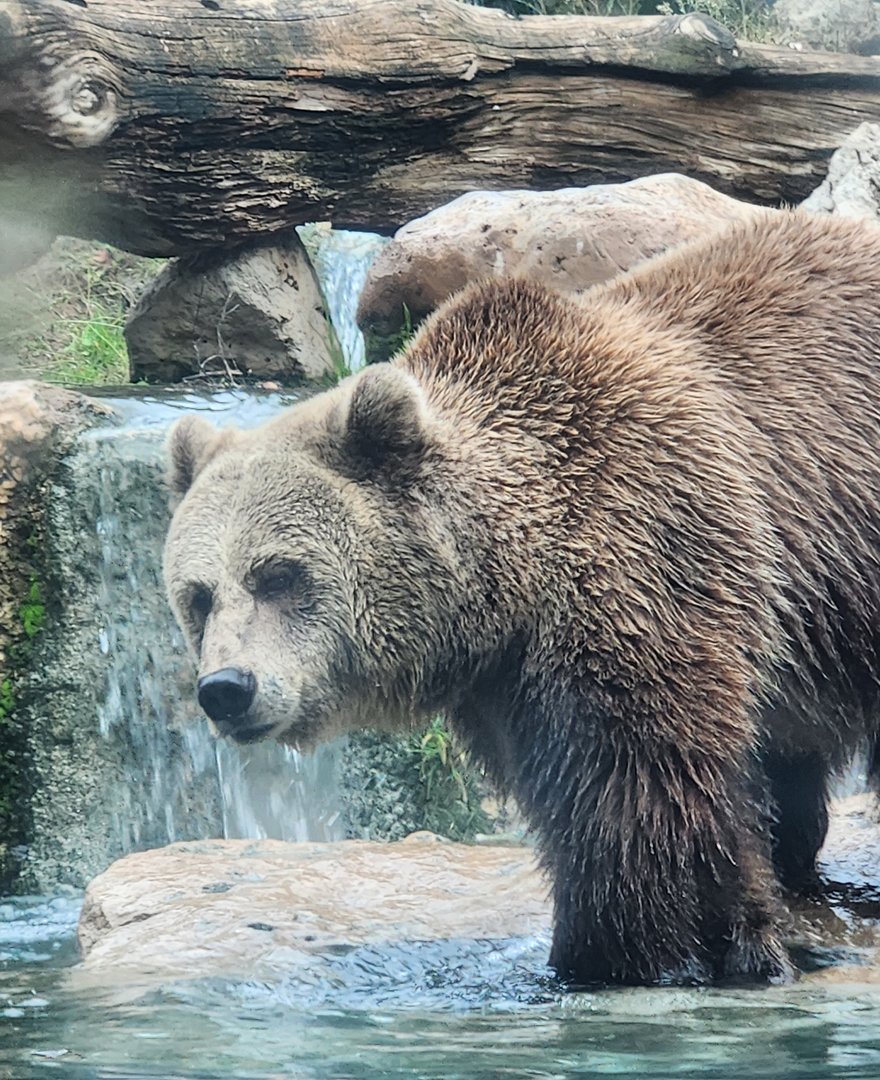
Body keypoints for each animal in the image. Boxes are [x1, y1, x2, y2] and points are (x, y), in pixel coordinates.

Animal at [164, 209, 880, 988]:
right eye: (198, 596)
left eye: (278, 574)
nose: (227, 688)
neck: (507, 580)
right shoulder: (502, 681)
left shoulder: (643, 562)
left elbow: (638, 785)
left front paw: (637, 949)